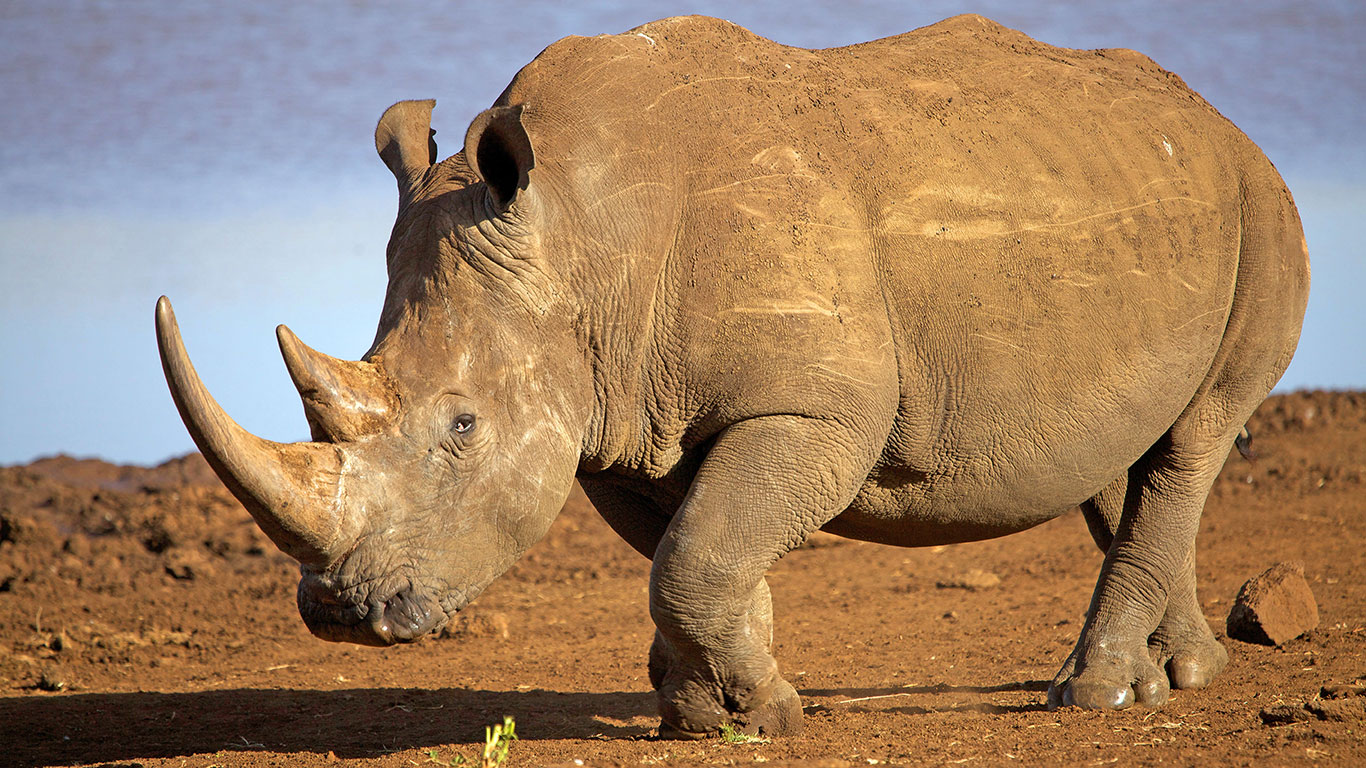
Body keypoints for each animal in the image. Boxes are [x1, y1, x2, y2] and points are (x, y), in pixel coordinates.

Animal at [155, 15, 1308, 737]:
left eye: (463, 428)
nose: (340, 616)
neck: (582, 239)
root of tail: (1215, 119)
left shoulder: (814, 410)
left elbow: (698, 556)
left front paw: (754, 713)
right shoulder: (624, 423)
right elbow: (699, 555)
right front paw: (716, 714)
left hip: (1262, 203)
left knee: (1194, 437)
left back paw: (1094, 695)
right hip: (1139, 207)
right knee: (1129, 457)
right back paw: (1177, 677)